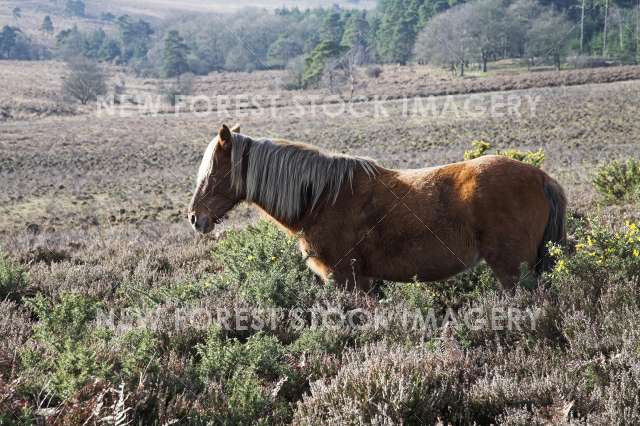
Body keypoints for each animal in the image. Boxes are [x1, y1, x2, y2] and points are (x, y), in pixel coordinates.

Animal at [188, 124, 567, 292]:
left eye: (214, 172)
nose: (195, 218)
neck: (321, 199)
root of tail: (541, 177)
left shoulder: (348, 280)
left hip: (512, 271)